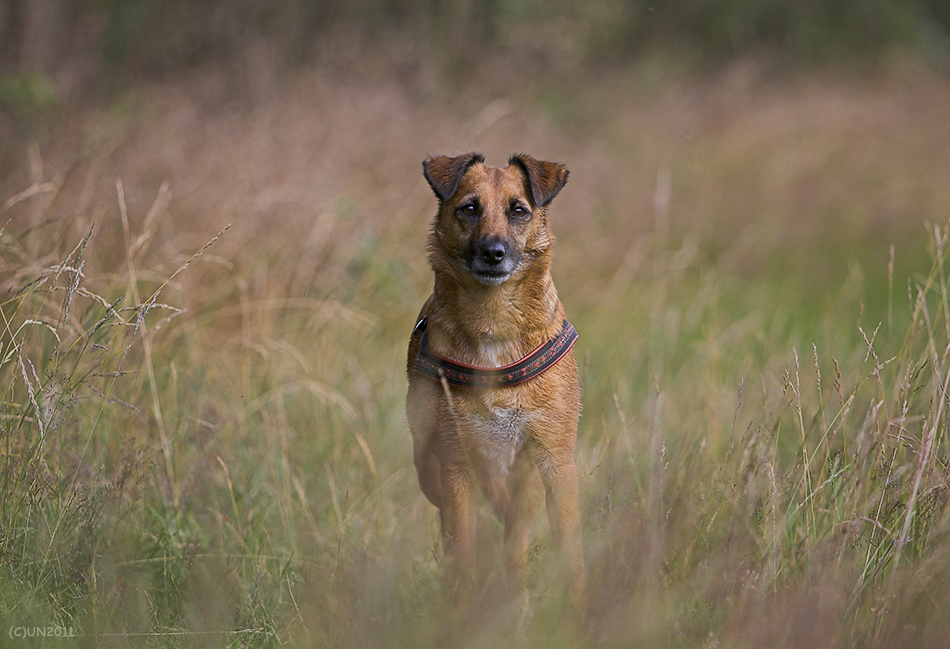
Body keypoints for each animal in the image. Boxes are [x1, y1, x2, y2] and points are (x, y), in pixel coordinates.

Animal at [406, 153, 584, 608]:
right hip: (429, 468)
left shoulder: (554, 459)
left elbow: (565, 545)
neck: (494, 323)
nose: (493, 252)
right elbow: (463, 548)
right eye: (469, 208)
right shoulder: (455, 465)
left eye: (518, 211)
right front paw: (464, 608)